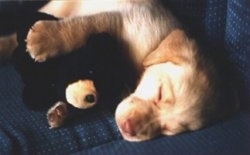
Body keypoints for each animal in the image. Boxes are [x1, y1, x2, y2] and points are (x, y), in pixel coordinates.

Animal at [23, 0, 236, 140]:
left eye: (168, 130)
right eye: (160, 93)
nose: (129, 129)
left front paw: (61, 111)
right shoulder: (122, 20)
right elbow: (83, 28)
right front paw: (44, 37)